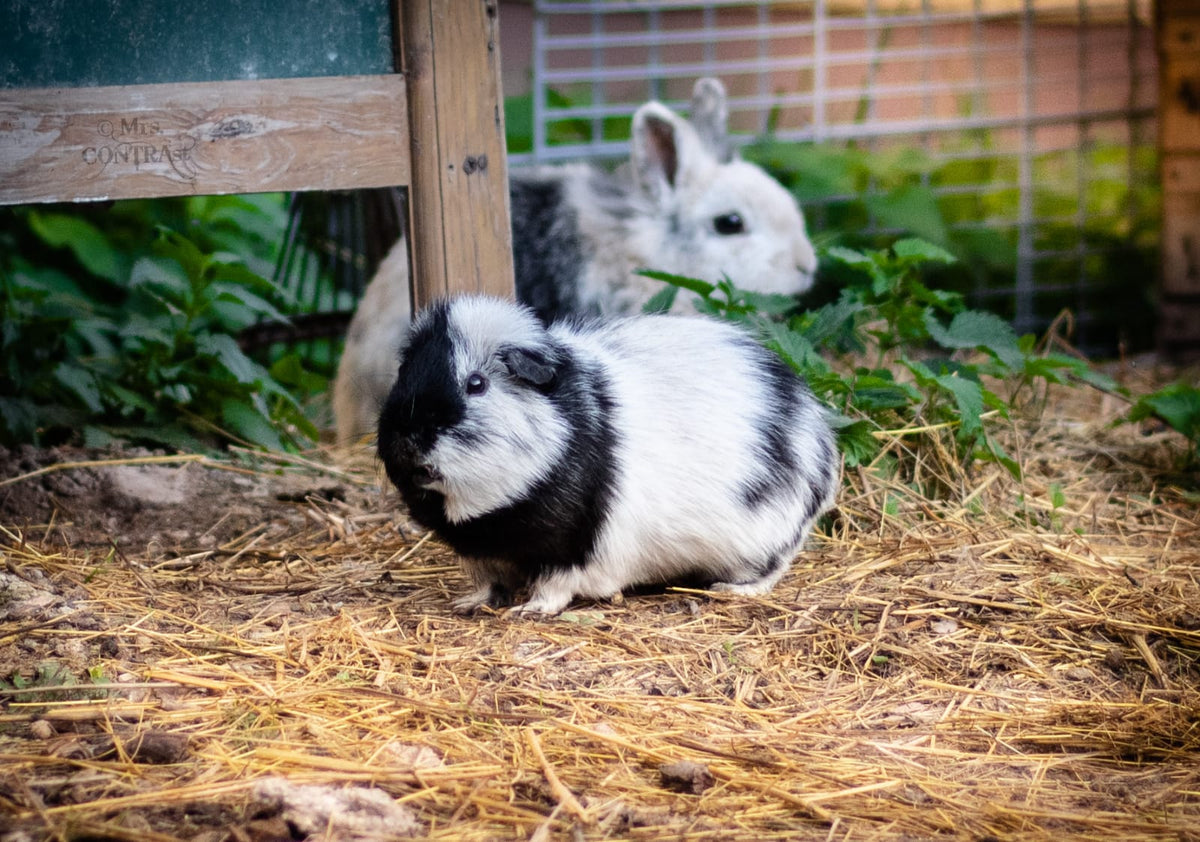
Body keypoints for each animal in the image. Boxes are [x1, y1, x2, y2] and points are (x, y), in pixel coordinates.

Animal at [375, 295, 839, 616]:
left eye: (476, 384)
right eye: (405, 373)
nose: (407, 434)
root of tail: (821, 447)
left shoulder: (572, 549)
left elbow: (554, 589)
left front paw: (529, 611)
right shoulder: (482, 552)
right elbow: (491, 584)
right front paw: (469, 604)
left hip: (762, 543)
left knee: (771, 569)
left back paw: (728, 590)